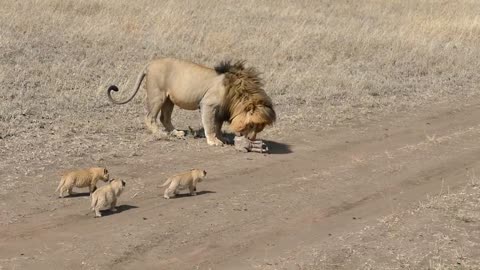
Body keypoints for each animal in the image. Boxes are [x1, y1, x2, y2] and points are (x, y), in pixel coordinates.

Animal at [107, 57, 276, 146]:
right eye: (252, 125)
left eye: (259, 128)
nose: (252, 139)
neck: (236, 94)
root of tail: (150, 64)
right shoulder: (208, 105)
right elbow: (210, 125)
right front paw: (213, 141)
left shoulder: (220, 110)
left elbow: (218, 126)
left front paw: (222, 138)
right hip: (158, 95)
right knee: (150, 117)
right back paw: (161, 134)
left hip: (169, 100)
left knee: (164, 118)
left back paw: (176, 133)